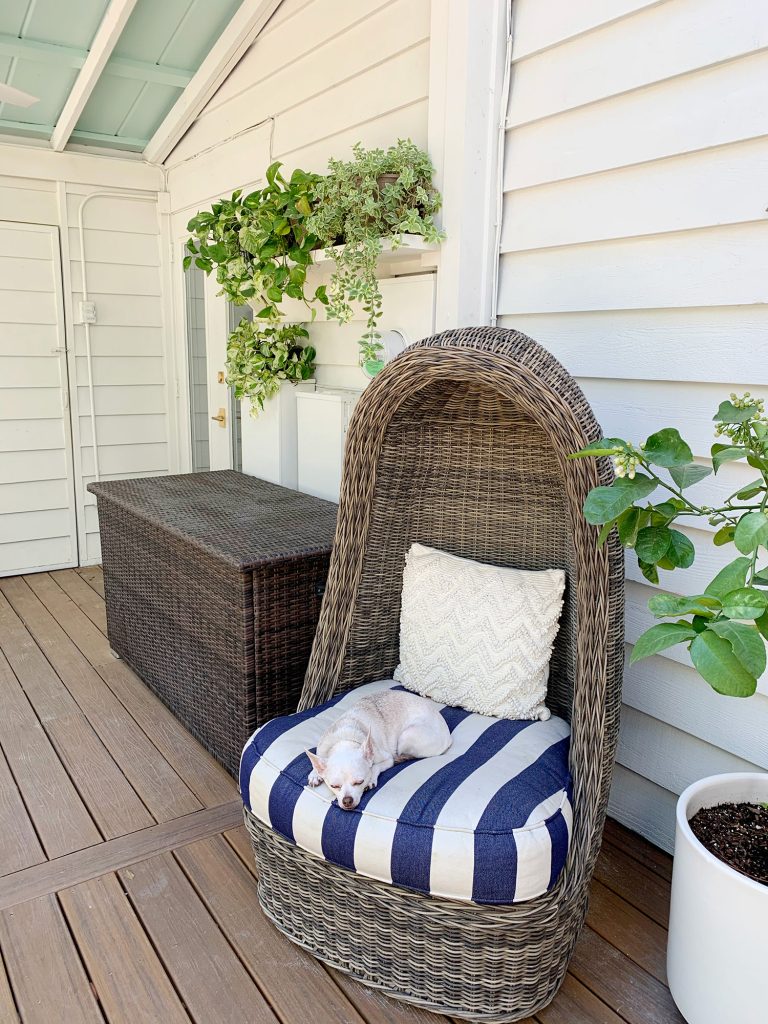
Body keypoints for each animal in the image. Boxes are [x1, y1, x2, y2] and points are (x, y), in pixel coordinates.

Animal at [307, 692, 450, 811]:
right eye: (334, 786)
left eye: (359, 782)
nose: (347, 800)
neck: (344, 740)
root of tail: (448, 736)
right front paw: (315, 774)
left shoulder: (387, 758)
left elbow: (375, 767)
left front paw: (371, 779)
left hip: (406, 736)